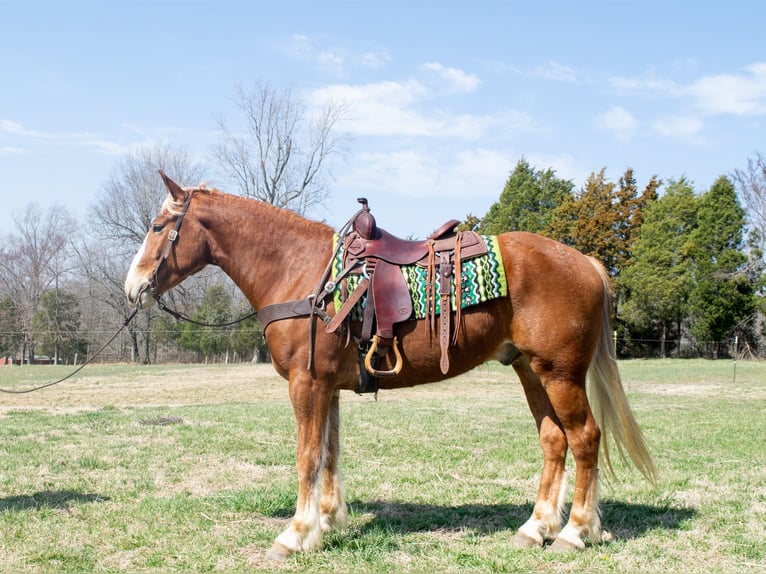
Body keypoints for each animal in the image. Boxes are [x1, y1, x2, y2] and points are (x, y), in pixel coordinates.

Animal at [124, 172, 656, 559]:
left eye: (157, 227)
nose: (132, 288)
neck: (300, 269)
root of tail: (587, 263)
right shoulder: (326, 386)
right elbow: (330, 454)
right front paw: (328, 521)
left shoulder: (305, 384)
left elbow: (307, 456)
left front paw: (295, 534)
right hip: (530, 371)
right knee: (553, 441)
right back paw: (537, 527)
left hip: (559, 374)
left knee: (584, 438)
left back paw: (575, 532)